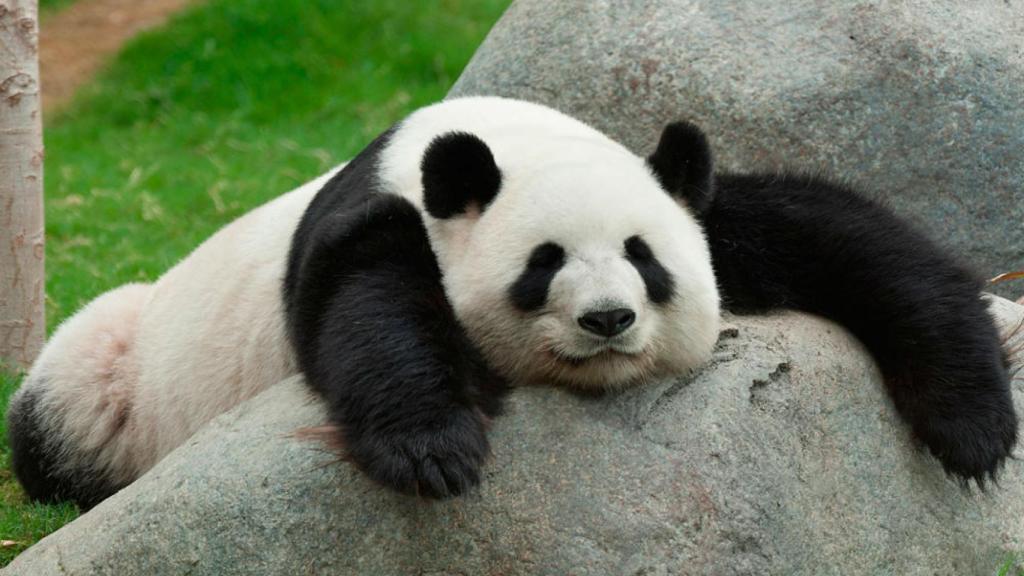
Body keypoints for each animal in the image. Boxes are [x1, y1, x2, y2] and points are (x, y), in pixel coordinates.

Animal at [6, 97, 1018, 508]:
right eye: (544, 264)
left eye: (644, 260)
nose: (607, 319)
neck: (504, 139)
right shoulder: (378, 217)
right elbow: (365, 308)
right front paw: (435, 449)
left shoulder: (686, 195)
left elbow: (854, 242)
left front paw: (974, 428)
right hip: (116, 369)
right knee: (62, 412)